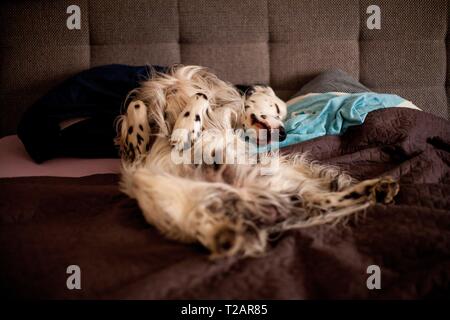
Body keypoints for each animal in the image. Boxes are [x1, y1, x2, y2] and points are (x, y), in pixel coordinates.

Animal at [115, 65, 398, 258]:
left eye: (284, 120)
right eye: (277, 109)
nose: (283, 133)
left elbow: (201, 97)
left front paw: (185, 127)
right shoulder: (136, 156)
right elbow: (139, 106)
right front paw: (178, 128)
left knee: (325, 201)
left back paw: (377, 189)